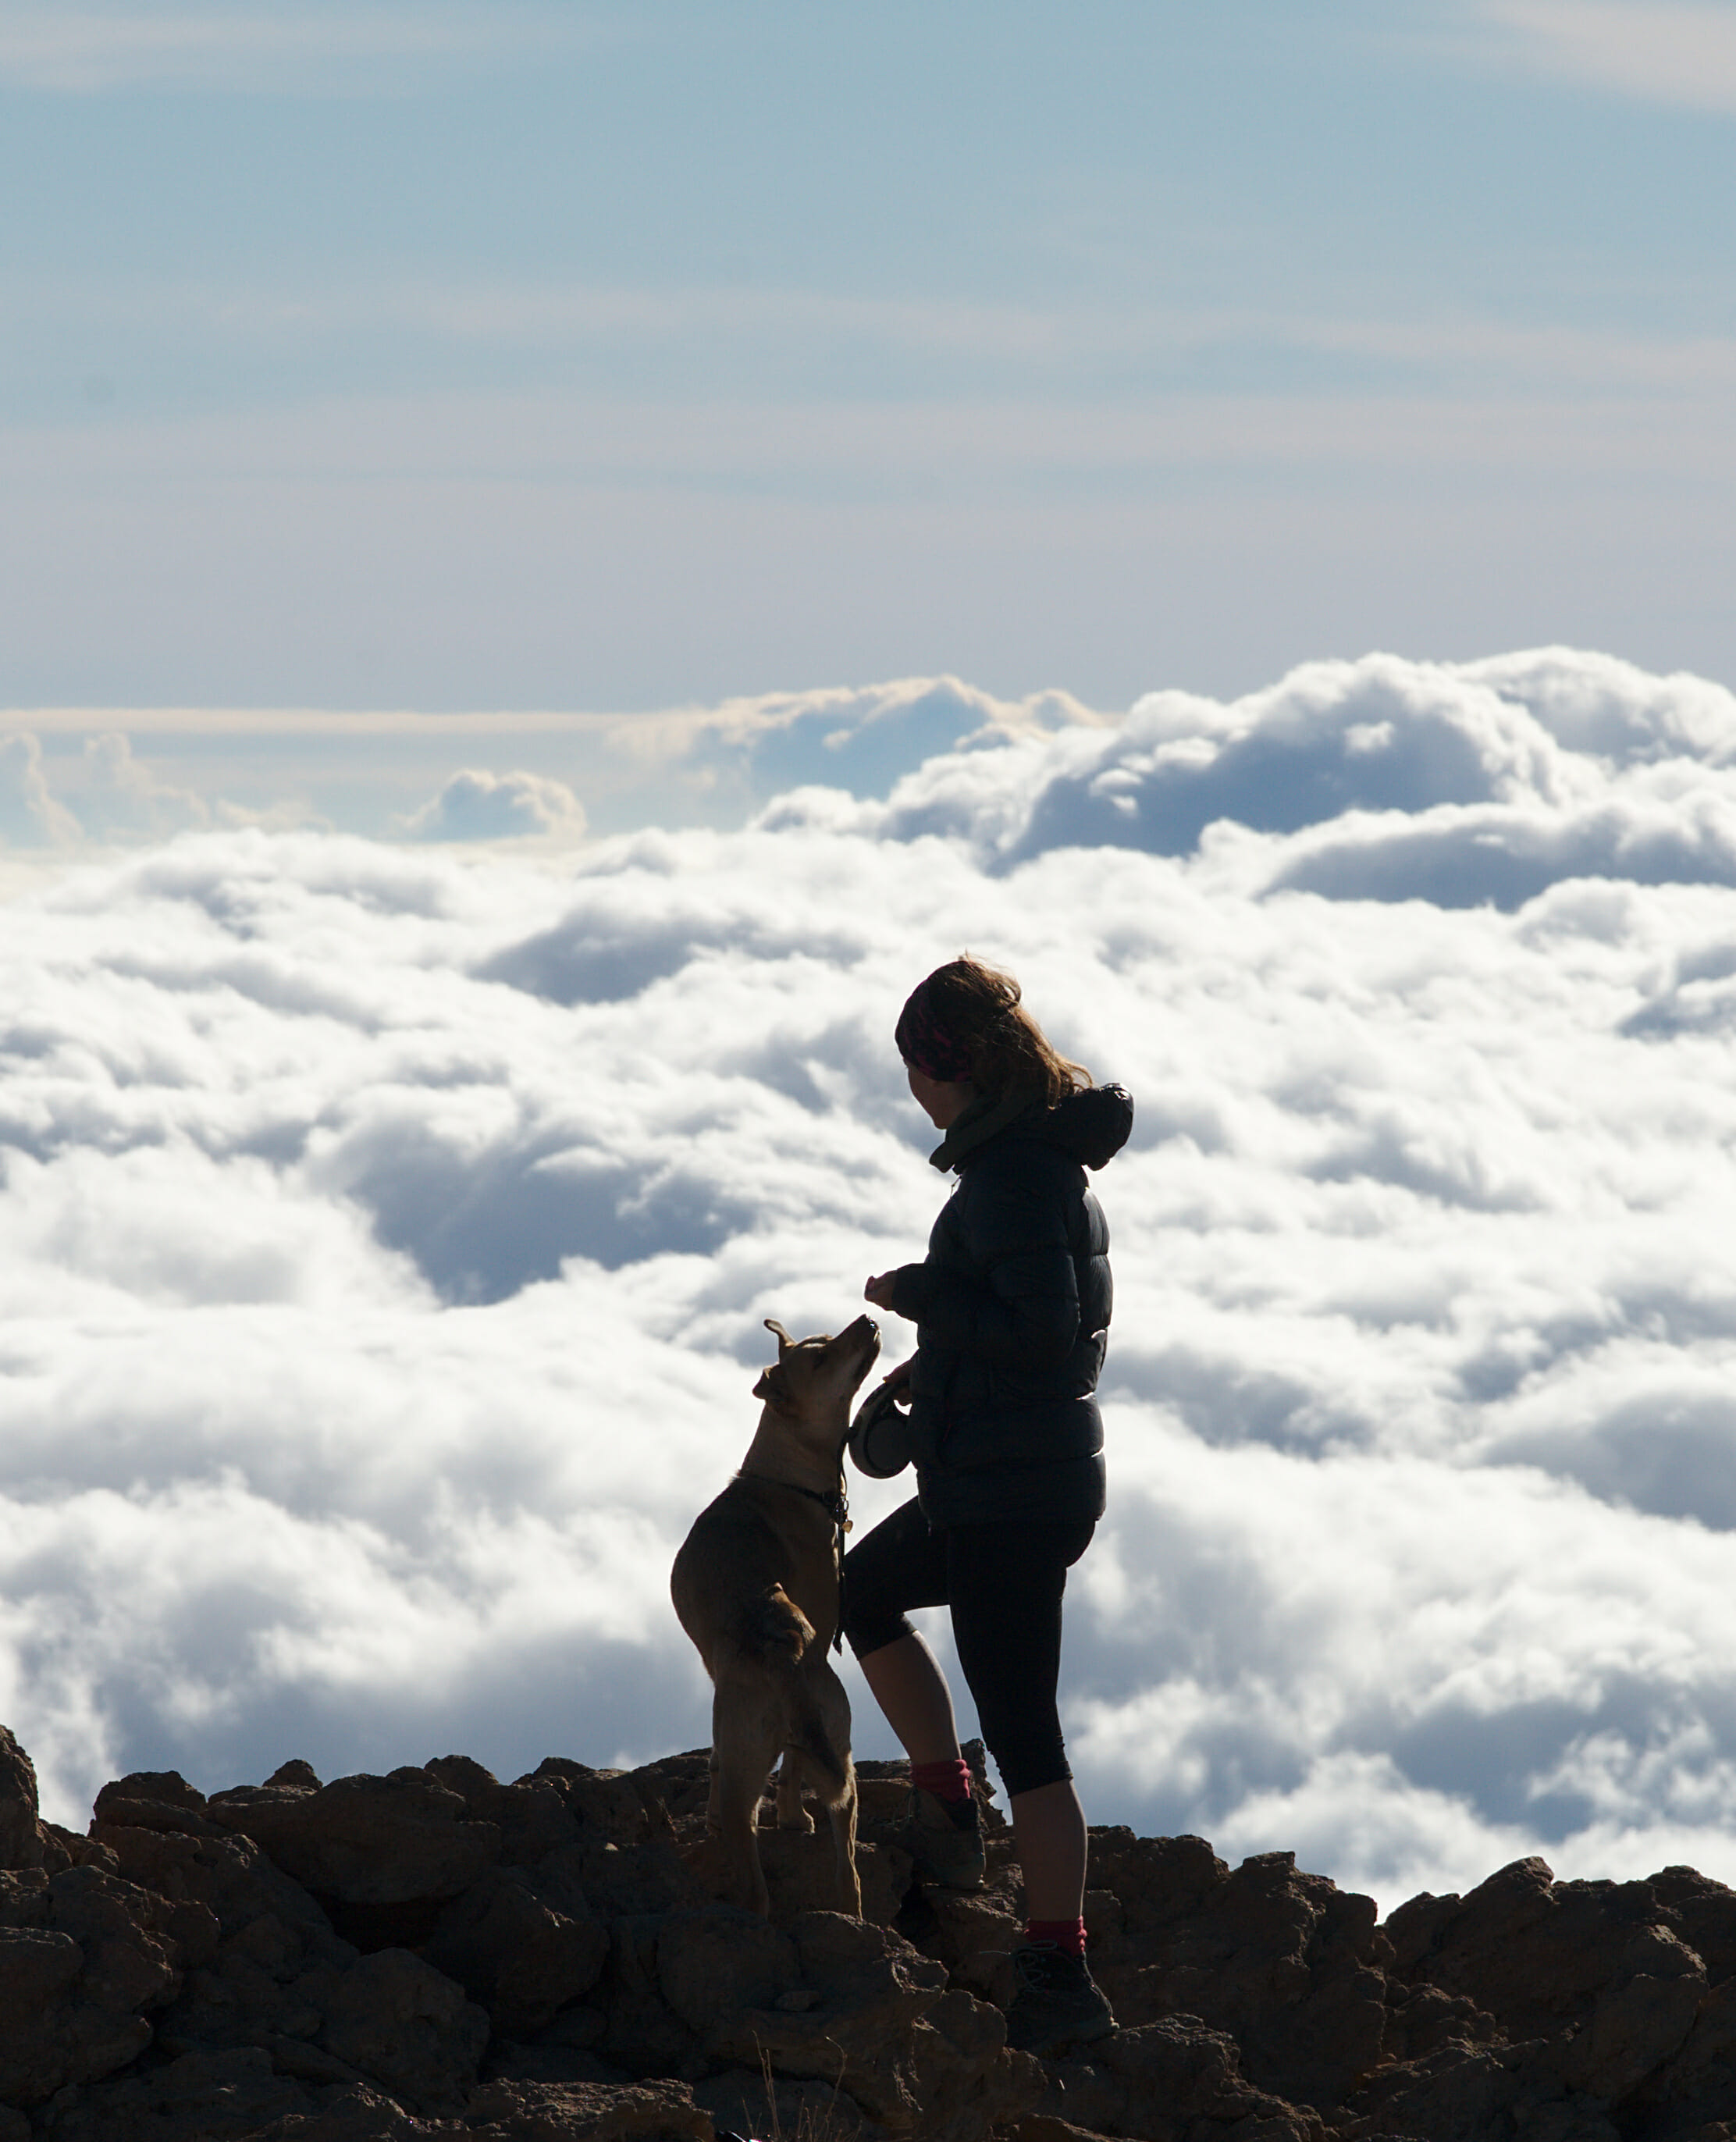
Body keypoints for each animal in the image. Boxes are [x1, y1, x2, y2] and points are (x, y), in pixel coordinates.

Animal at [664, 1311, 878, 1919]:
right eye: (822, 1357)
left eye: (826, 1341)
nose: (868, 1318)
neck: (790, 1478)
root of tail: (782, 1649)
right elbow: (782, 1766)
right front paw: (790, 1818)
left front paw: (785, 1818)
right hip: (840, 1746)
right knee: (847, 1868)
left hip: (764, 1759)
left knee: (756, 1872)